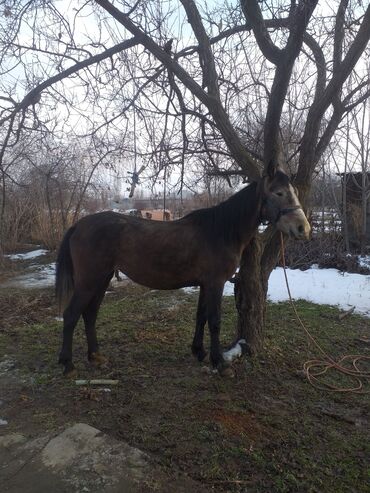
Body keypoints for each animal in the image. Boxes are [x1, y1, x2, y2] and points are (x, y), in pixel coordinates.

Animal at [55, 164, 310, 376]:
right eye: (278, 192)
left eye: (294, 191)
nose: (303, 228)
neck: (221, 231)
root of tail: (78, 225)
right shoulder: (216, 283)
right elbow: (214, 320)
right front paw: (219, 362)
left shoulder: (205, 284)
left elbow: (201, 317)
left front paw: (199, 352)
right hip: (90, 281)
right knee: (71, 315)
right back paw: (67, 364)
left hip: (102, 278)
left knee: (90, 314)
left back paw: (96, 357)